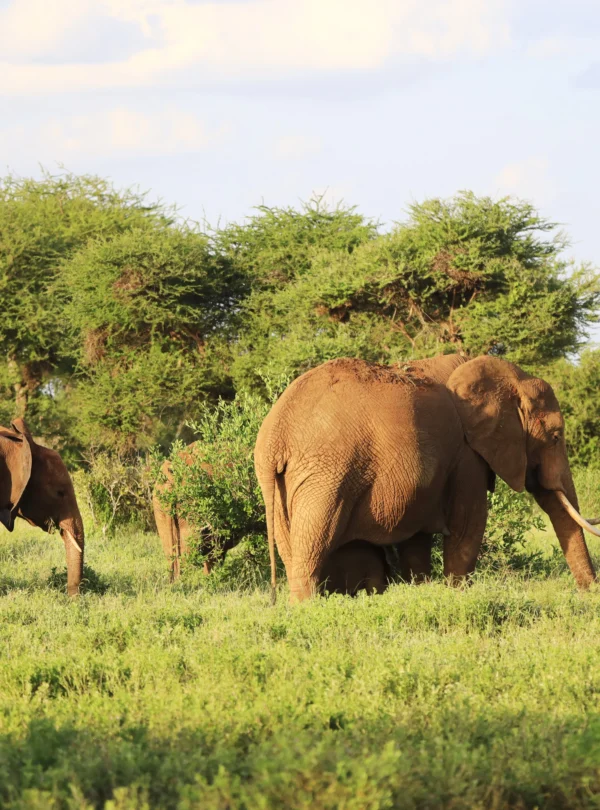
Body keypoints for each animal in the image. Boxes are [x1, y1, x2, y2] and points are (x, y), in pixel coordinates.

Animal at [254, 354, 599, 602]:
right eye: (555, 436)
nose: (588, 595)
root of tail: (276, 434)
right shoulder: (466, 454)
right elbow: (467, 527)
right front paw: (457, 596)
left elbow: (416, 541)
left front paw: (421, 592)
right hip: (326, 473)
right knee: (313, 545)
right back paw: (308, 608)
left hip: (282, 485)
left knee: (291, 550)